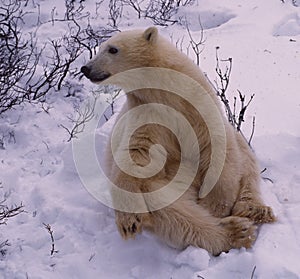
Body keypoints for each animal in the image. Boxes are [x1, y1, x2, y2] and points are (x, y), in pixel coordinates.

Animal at [81, 26, 276, 256]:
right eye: (100, 47)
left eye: (112, 49)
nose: (86, 68)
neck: (165, 91)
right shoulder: (148, 114)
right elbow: (136, 154)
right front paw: (129, 220)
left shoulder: (196, 104)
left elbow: (217, 144)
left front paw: (214, 204)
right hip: (172, 180)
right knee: (173, 211)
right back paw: (237, 231)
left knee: (246, 160)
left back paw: (254, 210)